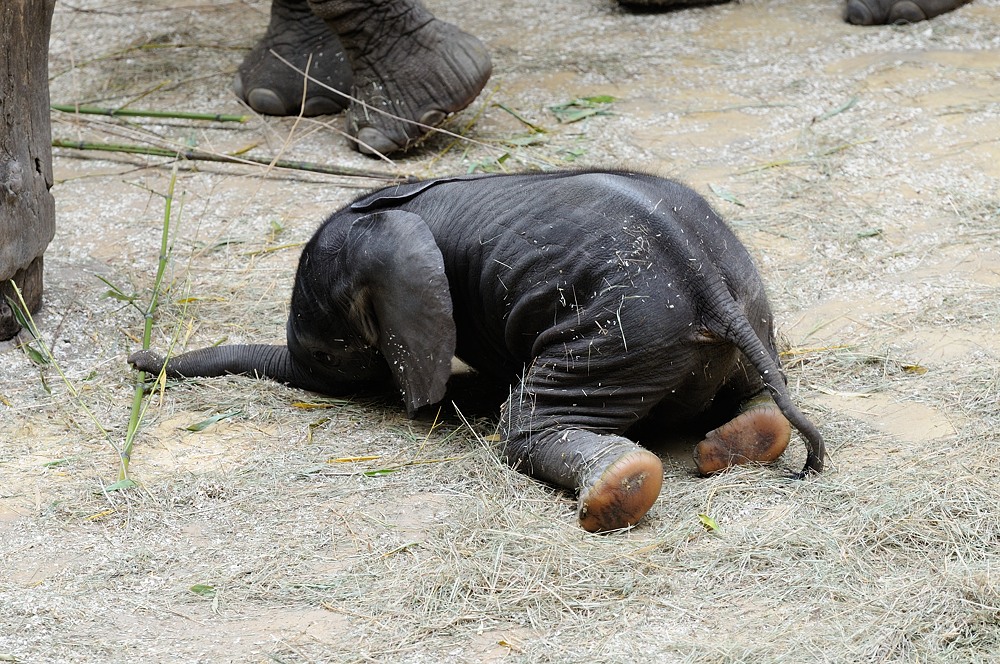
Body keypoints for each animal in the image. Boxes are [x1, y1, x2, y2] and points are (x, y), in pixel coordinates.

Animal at [129, 169, 824, 532]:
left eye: (326, 357)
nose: (138, 363)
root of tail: (711, 290)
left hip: (612, 339)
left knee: (523, 426)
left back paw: (620, 488)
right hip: (737, 318)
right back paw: (748, 440)